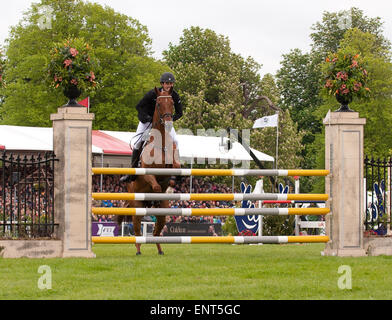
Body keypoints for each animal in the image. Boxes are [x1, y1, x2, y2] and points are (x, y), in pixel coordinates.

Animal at [118, 87, 181, 255]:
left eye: (172, 103)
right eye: (158, 104)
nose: (168, 123)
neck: (161, 143)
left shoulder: (174, 165)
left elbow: (175, 172)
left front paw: (172, 183)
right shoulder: (148, 174)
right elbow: (156, 186)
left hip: (163, 213)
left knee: (156, 232)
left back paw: (160, 249)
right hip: (137, 205)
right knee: (137, 230)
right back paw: (138, 250)